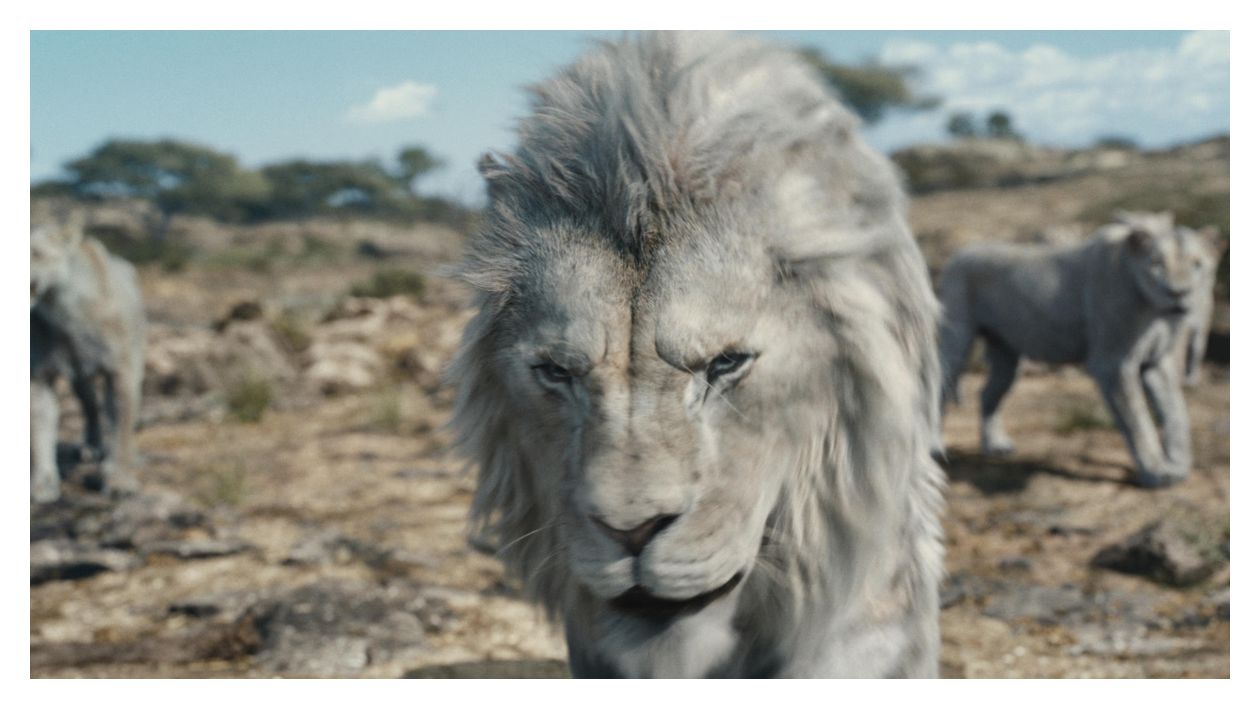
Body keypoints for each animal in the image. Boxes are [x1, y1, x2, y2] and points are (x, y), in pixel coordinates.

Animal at [31, 202, 146, 502]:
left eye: (35, 253)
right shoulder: (40, 376)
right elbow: (40, 430)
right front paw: (43, 484)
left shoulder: (122, 372)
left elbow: (121, 427)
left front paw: (119, 480)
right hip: (78, 376)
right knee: (91, 406)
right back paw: (91, 447)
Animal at [936, 211, 1214, 488]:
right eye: (1157, 263)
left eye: (1197, 264)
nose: (1179, 293)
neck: (1154, 309)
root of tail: (957, 255)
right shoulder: (1112, 364)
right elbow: (1138, 421)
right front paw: (1156, 473)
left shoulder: (1156, 361)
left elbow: (1176, 413)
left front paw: (1179, 466)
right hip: (956, 342)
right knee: (938, 391)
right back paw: (935, 448)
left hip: (1007, 358)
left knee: (987, 394)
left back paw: (994, 446)